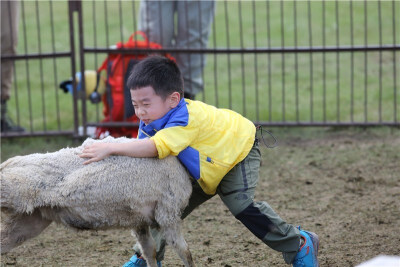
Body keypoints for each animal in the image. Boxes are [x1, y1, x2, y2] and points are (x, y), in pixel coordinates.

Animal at [1, 137, 195, 266]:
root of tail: (10, 163)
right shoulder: (168, 213)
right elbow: (185, 252)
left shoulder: (140, 220)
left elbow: (150, 252)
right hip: (14, 189)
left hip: (30, 220)